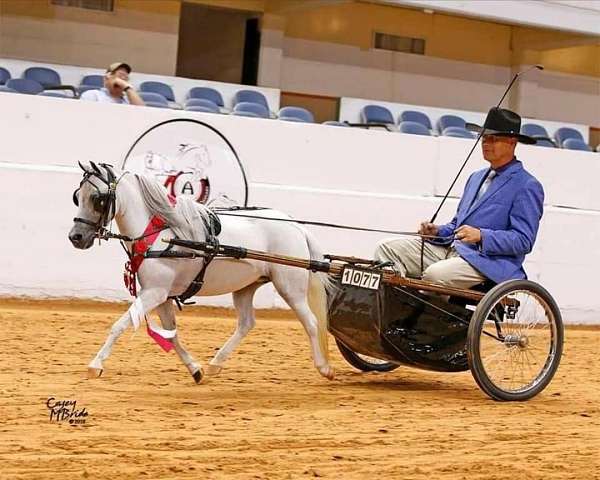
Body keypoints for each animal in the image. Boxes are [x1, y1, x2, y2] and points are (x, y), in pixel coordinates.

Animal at [69, 163, 338, 384]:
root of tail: (295, 225)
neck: (162, 234)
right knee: (246, 323)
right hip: (245, 287)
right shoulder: (161, 296)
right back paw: (215, 364)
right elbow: (171, 335)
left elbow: (120, 325)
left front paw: (95, 365)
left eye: (97, 198)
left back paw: (324, 368)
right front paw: (195, 369)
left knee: (311, 323)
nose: (76, 237)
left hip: (290, 287)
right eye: (77, 197)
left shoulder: (154, 293)